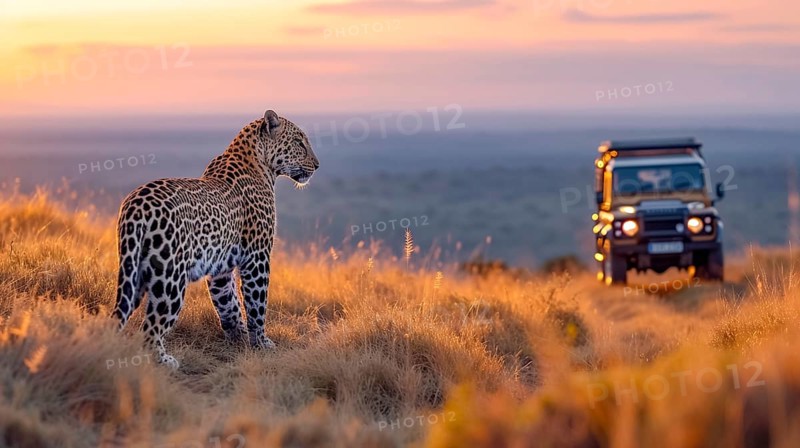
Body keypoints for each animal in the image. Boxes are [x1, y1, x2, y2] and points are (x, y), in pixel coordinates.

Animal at [111, 110, 319, 369]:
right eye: (299, 142)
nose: (317, 165)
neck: (261, 164)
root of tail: (136, 205)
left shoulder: (221, 268)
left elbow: (228, 303)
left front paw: (239, 339)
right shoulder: (257, 257)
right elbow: (257, 303)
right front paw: (261, 343)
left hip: (132, 272)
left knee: (118, 316)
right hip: (170, 279)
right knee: (150, 329)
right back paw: (165, 361)